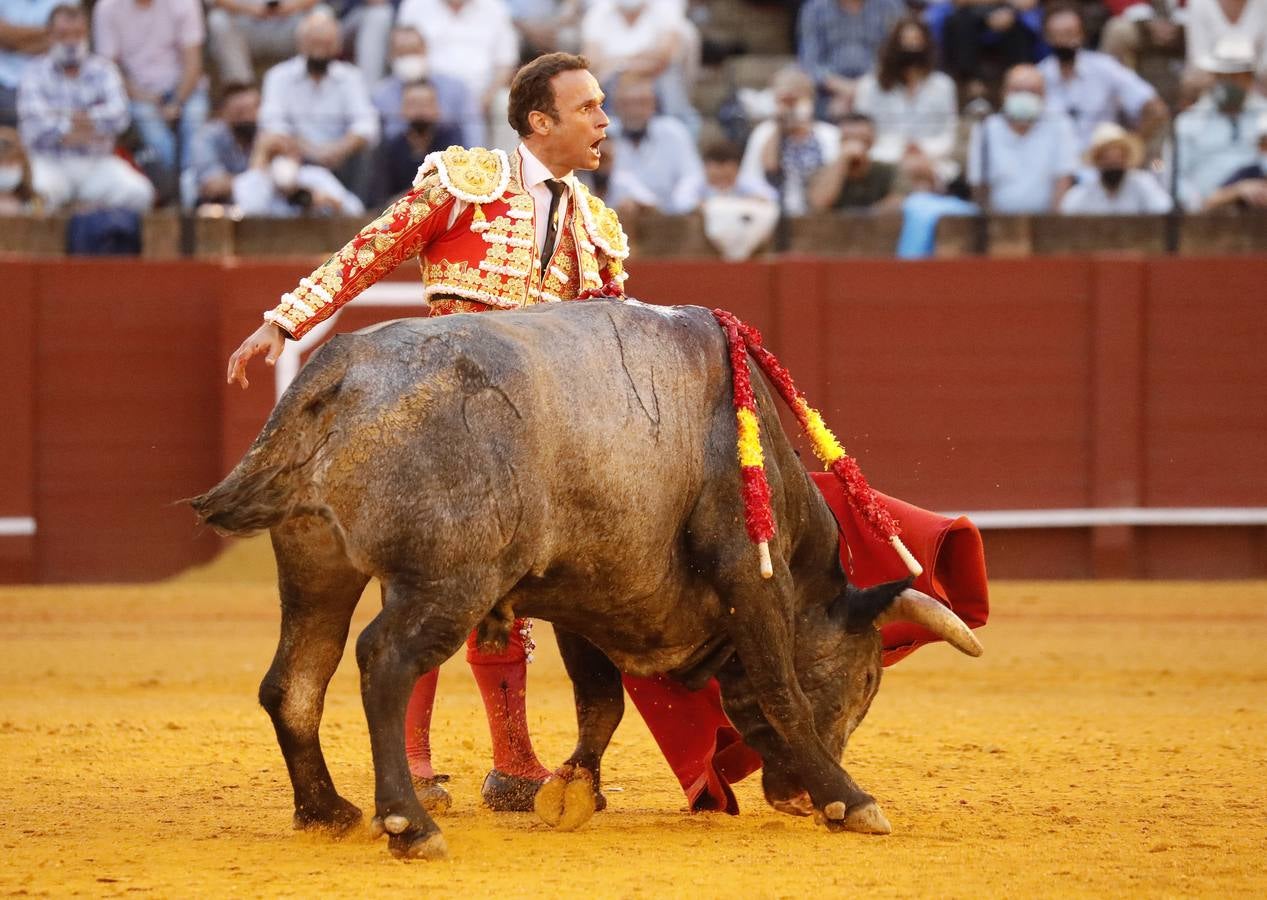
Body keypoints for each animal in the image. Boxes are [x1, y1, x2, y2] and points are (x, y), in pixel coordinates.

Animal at [190, 299, 978, 861]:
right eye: (867, 681)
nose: (793, 798)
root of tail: (342, 372)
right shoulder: (749, 578)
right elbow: (781, 692)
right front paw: (853, 800)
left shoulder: (590, 589)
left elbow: (600, 701)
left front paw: (572, 790)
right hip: (447, 580)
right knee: (383, 662)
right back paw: (409, 824)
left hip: (316, 563)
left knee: (295, 681)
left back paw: (327, 812)